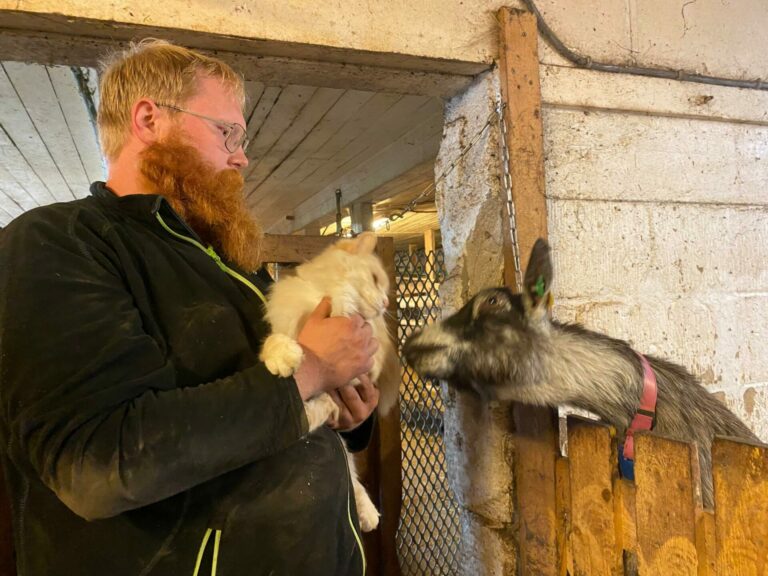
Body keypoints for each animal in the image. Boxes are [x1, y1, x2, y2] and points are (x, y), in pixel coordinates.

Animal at [260, 230, 400, 532]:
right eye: (375, 279)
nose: (385, 303)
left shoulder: (366, 368)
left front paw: (343, 301)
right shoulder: (288, 320)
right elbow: (275, 341)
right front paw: (284, 357)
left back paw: (369, 515)